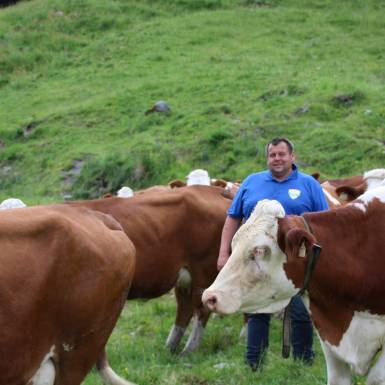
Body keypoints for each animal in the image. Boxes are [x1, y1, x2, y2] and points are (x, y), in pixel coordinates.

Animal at [65, 183, 230, 354]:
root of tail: (211, 190)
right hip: (185, 277)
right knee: (185, 309)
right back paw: (170, 347)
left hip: (204, 271)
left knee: (201, 309)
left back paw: (188, 350)